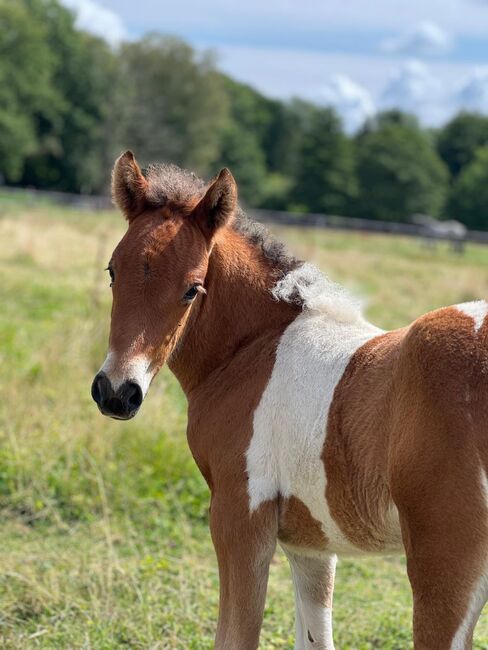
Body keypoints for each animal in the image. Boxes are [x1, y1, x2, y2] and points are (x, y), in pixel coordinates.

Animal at [91, 151, 488, 649]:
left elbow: (235, 636)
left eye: (192, 288)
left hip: (445, 561)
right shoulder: (310, 542)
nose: (116, 392)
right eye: (112, 271)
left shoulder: (240, 515)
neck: (254, 346)